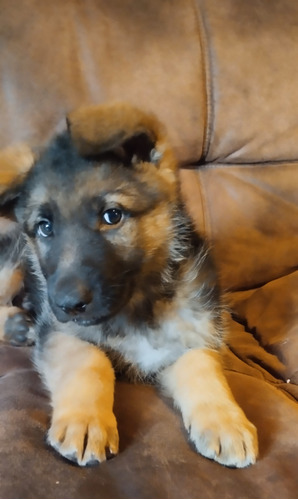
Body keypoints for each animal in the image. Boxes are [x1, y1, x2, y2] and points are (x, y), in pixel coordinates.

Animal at [0, 103, 256, 466]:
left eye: (112, 215)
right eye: (45, 227)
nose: (65, 304)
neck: (136, 305)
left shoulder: (192, 335)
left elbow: (202, 366)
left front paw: (225, 421)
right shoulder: (61, 331)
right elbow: (90, 360)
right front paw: (86, 421)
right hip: (14, 261)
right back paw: (14, 324)